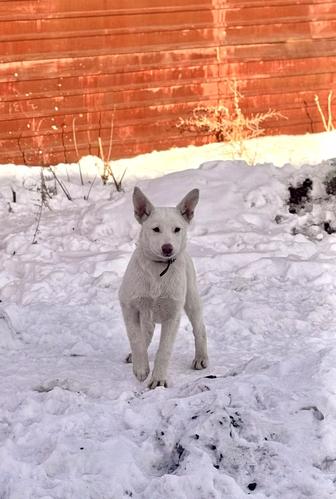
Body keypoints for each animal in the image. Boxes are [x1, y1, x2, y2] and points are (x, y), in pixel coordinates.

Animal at [118, 188, 207, 390]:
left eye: (177, 229)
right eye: (156, 229)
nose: (168, 248)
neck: (158, 269)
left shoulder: (173, 315)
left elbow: (164, 350)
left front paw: (158, 379)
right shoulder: (128, 306)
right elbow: (136, 338)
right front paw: (141, 368)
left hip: (191, 300)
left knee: (200, 328)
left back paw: (201, 358)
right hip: (145, 312)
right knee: (145, 333)